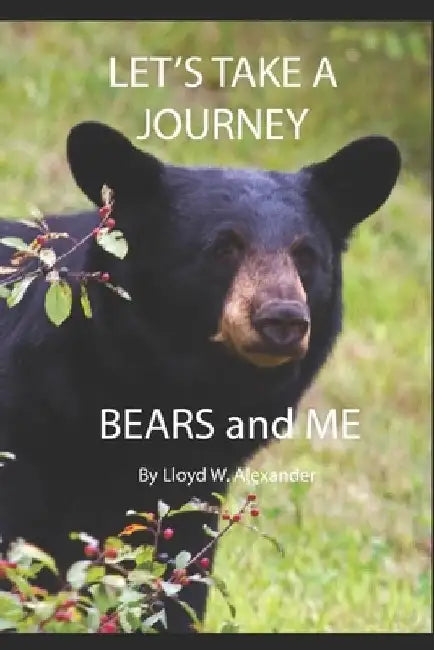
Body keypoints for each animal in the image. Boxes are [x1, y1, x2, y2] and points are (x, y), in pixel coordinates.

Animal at [0, 122, 400, 632]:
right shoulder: (26, 432)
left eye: (306, 255)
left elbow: (178, 576)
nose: (283, 319)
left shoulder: (192, 486)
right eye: (223, 247)